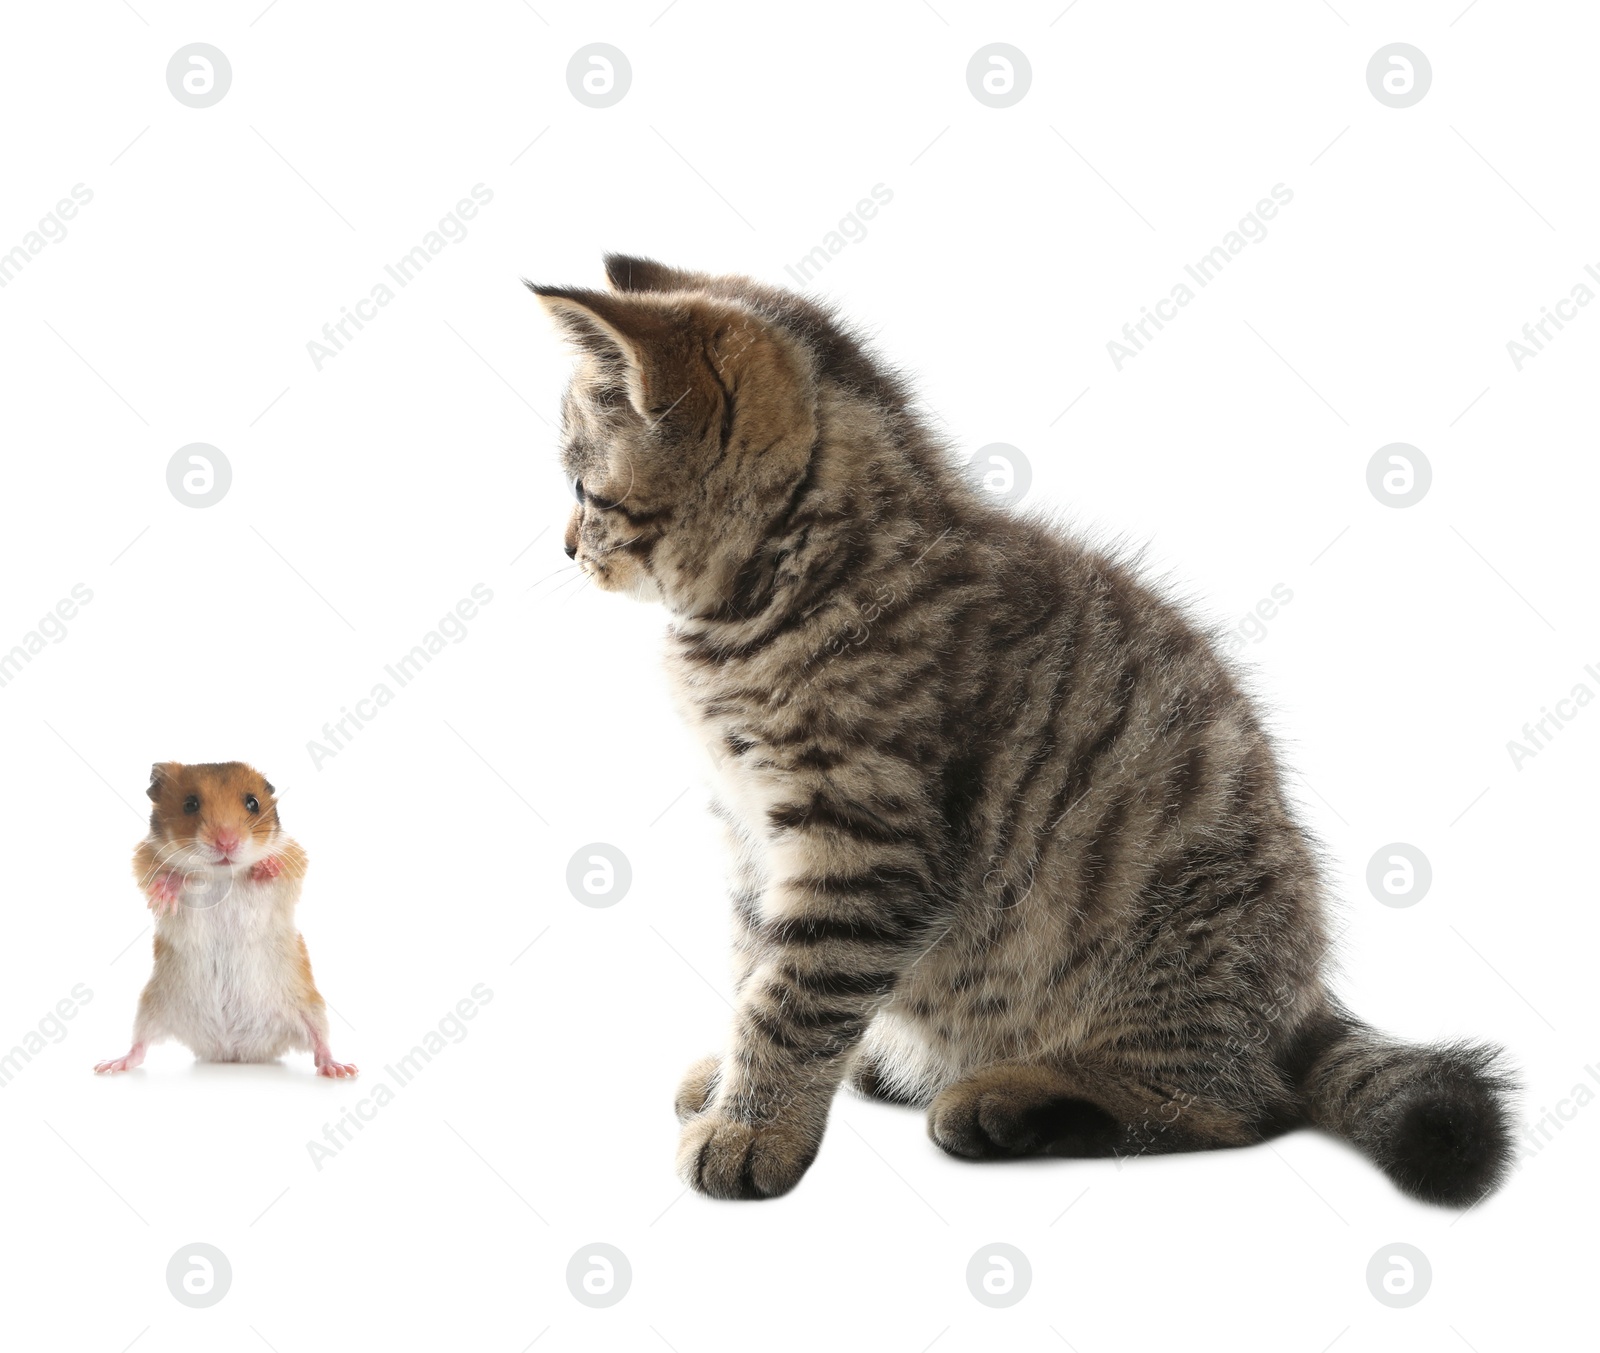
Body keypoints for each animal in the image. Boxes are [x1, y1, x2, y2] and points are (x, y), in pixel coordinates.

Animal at [98, 761, 355, 1081]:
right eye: (190, 804)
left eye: (253, 803)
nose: (226, 842)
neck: (223, 874)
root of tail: (232, 1051)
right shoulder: (145, 863)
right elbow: (181, 877)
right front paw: (165, 892)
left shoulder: (294, 864)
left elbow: (275, 873)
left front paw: (265, 866)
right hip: (150, 1006)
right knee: (139, 1046)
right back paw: (110, 1065)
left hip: (311, 1006)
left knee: (320, 1044)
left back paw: (341, 1069)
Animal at [528, 254, 1510, 1209]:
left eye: (583, 489)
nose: (565, 547)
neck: (796, 579)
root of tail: (1302, 999)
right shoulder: (749, 838)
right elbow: (752, 965)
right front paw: (737, 1078)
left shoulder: (866, 846)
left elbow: (792, 996)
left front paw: (752, 1126)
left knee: (1232, 1104)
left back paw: (1014, 1100)